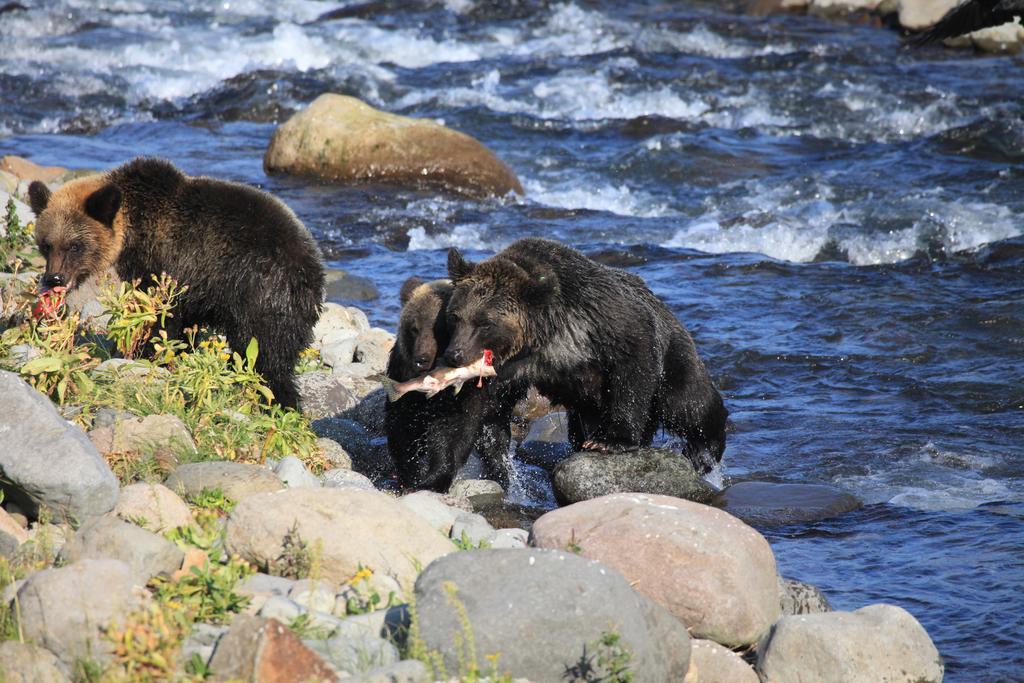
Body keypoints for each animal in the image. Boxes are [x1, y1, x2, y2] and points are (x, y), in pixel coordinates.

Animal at [28, 157, 323, 409]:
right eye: (46, 244)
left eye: (75, 246)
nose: (54, 278)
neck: (132, 226)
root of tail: (310, 269)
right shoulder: (195, 286)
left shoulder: (168, 263)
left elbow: (161, 318)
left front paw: (147, 353)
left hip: (259, 294)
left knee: (264, 353)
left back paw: (279, 402)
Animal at [385, 278, 524, 491]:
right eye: (414, 328)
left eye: (439, 329)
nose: (421, 360)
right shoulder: (403, 377)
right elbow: (401, 423)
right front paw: (409, 473)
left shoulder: (468, 391)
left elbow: (453, 428)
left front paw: (433, 478)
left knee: (494, 438)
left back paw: (499, 475)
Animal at [444, 237, 724, 473]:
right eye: (455, 315)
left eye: (485, 323)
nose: (454, 354)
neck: (544, 338)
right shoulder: (509, 371)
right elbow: (481, 413)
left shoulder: (603, 324)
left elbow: (633, 372)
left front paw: (611, 440)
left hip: (673, 354)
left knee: (686, 402)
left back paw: (705, 451)